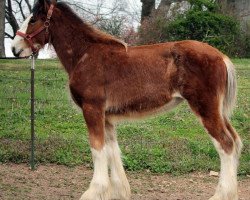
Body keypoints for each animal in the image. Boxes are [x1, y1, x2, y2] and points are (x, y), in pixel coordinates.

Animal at [11, 0, 242, 199]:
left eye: (33, 19)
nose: (14, 49)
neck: (85, 55)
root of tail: (221, 56)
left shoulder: (92, 109)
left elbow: (97, 149)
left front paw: (93, 192)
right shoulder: (106, 116)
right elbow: (112, 150)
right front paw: (117, 192)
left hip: (206, 108)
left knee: (226, 144)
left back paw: (220, 195)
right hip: (218, 110)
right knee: (235, 141)